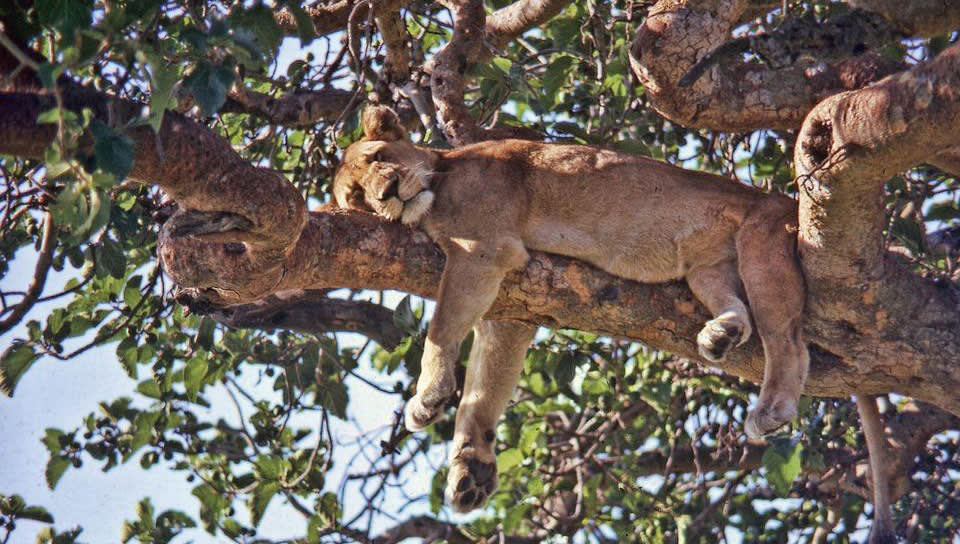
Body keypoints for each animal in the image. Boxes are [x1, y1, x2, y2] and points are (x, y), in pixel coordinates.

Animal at [334, 107, 808, 516]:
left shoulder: (482, 250)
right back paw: (721, 334)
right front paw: (472, 468)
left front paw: (427, 396)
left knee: (787, 341)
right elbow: (482, 390)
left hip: (762, 242)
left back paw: (772, 409)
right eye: (357, 196)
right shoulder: (508, 312)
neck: (442, 174)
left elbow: (440, 329)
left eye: (378, 158)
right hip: (707, 271)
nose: (386, 192)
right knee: (737, 307)